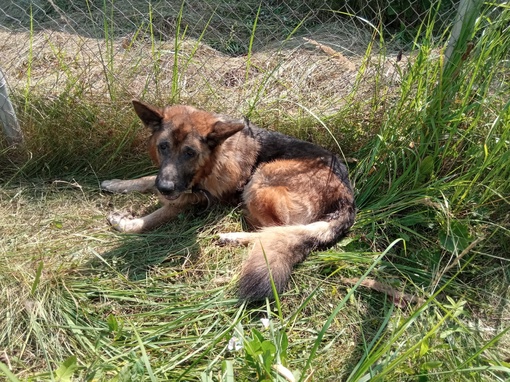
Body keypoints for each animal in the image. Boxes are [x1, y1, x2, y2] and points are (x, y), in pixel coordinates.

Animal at [99, 100, 354, 302]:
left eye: (190, 153)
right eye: (163, 147)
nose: (166, 189)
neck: (214, 160)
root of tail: (347, 198)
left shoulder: (184, 202)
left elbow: (148, 222)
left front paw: (125, 222)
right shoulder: (174, 184)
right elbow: (147, 179)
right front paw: (116, 183)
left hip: (262, 176)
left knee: (278, 229)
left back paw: (235, 236)